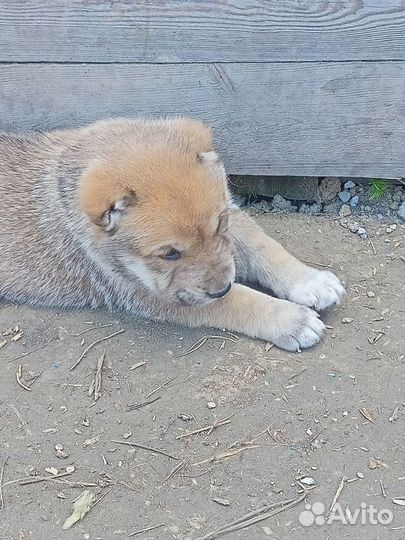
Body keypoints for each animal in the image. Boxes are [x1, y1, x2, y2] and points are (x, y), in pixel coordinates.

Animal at [0, 118, 344, 352]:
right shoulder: (154, 294)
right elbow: (238, 301)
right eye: (169, 254)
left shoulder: (232, 217)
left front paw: (310, 280)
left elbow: (263, 245)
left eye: (220, 225)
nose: (221, 287)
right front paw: (291, 320)